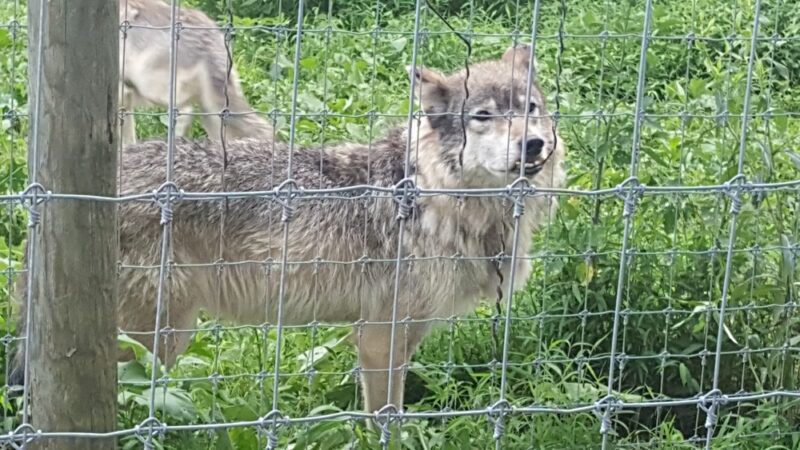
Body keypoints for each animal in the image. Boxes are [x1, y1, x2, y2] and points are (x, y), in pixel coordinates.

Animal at [12, 44, 565, 415]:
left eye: (529, 108)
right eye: (483, 117)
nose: (534, 144)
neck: (434, 196)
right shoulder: (379, 336)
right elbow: (386, 420)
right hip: (156, 338)